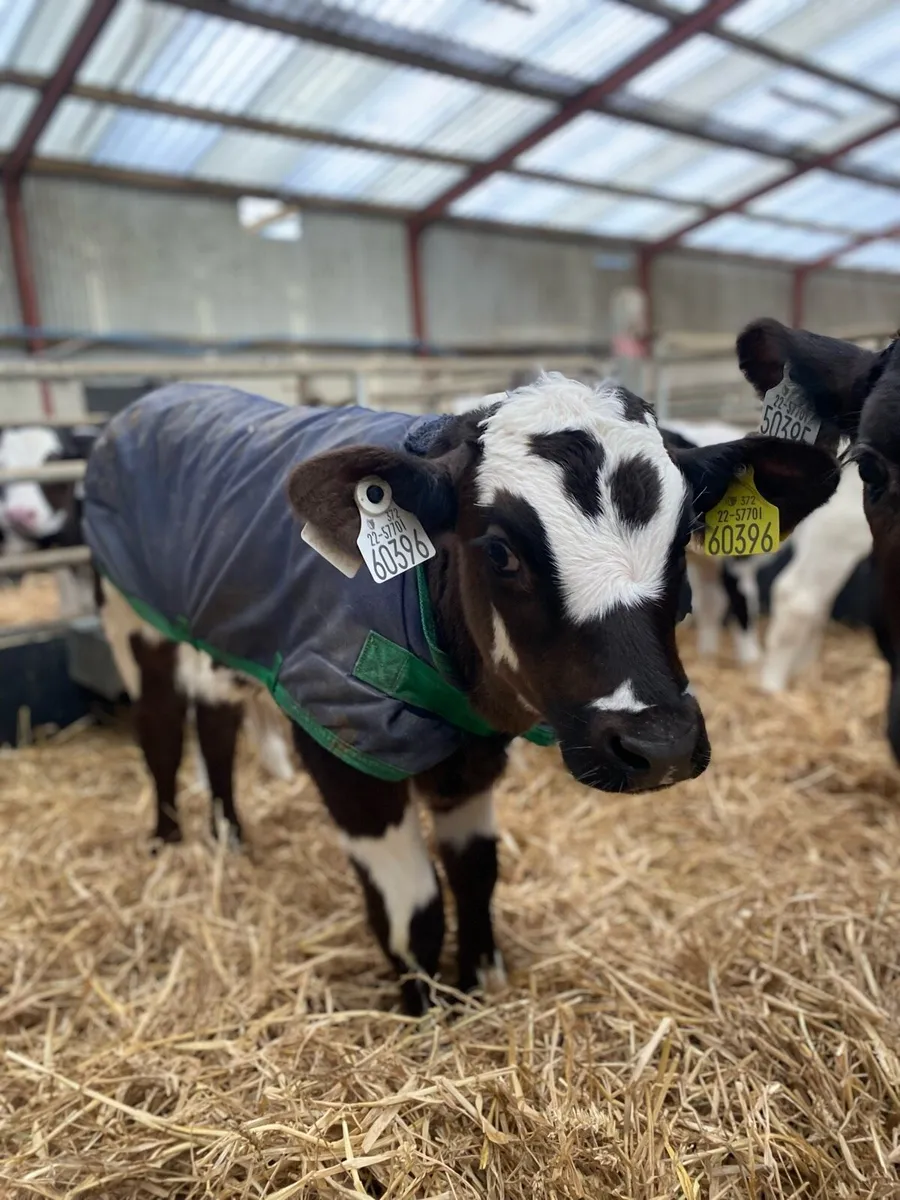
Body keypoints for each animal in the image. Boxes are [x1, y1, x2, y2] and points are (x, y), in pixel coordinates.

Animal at [82, 375, 837, 1012]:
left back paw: (230, 838)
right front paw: (425, 1016)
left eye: (684, 542)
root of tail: (157, 396)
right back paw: (167, 837)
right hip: (127, 612)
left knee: (214, 716)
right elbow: (413, 908)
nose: (661, 745)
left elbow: (476, 872)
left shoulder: (473, 753)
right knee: (160, 724)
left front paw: (477, 983)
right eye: (500, 550)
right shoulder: (342, 737)